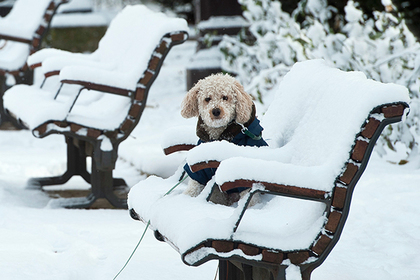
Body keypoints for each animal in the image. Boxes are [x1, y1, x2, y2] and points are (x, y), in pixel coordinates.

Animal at [181, 73, 268, 206]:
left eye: (225, 97)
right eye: (207, 99)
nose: (216, 111)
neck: (218, 138)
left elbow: (251, 199)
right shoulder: (200, 172)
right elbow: (194, 187)